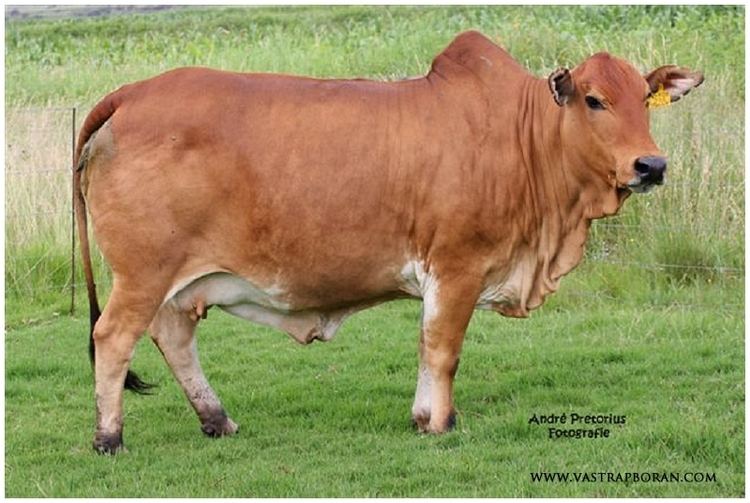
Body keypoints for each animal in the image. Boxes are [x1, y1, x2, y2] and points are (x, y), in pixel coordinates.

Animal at [74, 31, 703, 454]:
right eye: (594, 100)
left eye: (644, 100)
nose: (651, 165)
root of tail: (131, 94)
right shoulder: (457, 267)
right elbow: (443, 349)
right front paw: (441, 423)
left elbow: (427, 347)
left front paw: (425, 417)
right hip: (143, 273)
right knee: (114, 338)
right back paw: (109, 437)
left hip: (174, 279)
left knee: (174, 337)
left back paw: (218, 420)